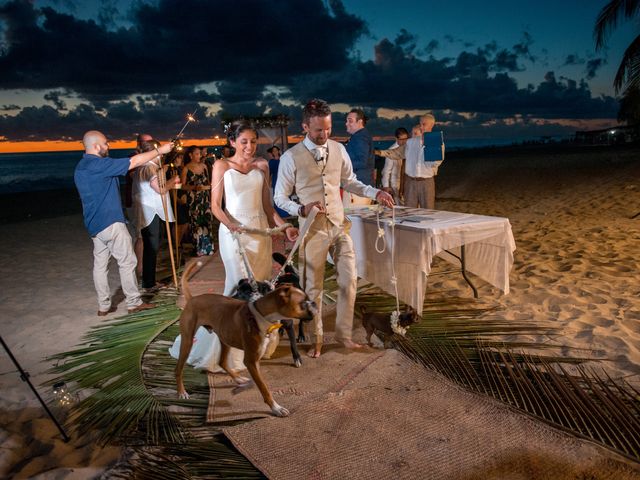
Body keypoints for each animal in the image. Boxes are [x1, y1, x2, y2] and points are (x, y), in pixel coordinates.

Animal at [175, 258, 318, 416]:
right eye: (302, 303)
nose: (313, 303)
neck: (260, 315)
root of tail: (193, 299)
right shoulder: (251, 361)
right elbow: (264, 387)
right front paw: (276, 408)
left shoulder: (255, 358)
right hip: (188, 342)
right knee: (178, 369)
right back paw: (182, 392)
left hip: (225, 339)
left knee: (222, 362)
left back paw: (238, 379)